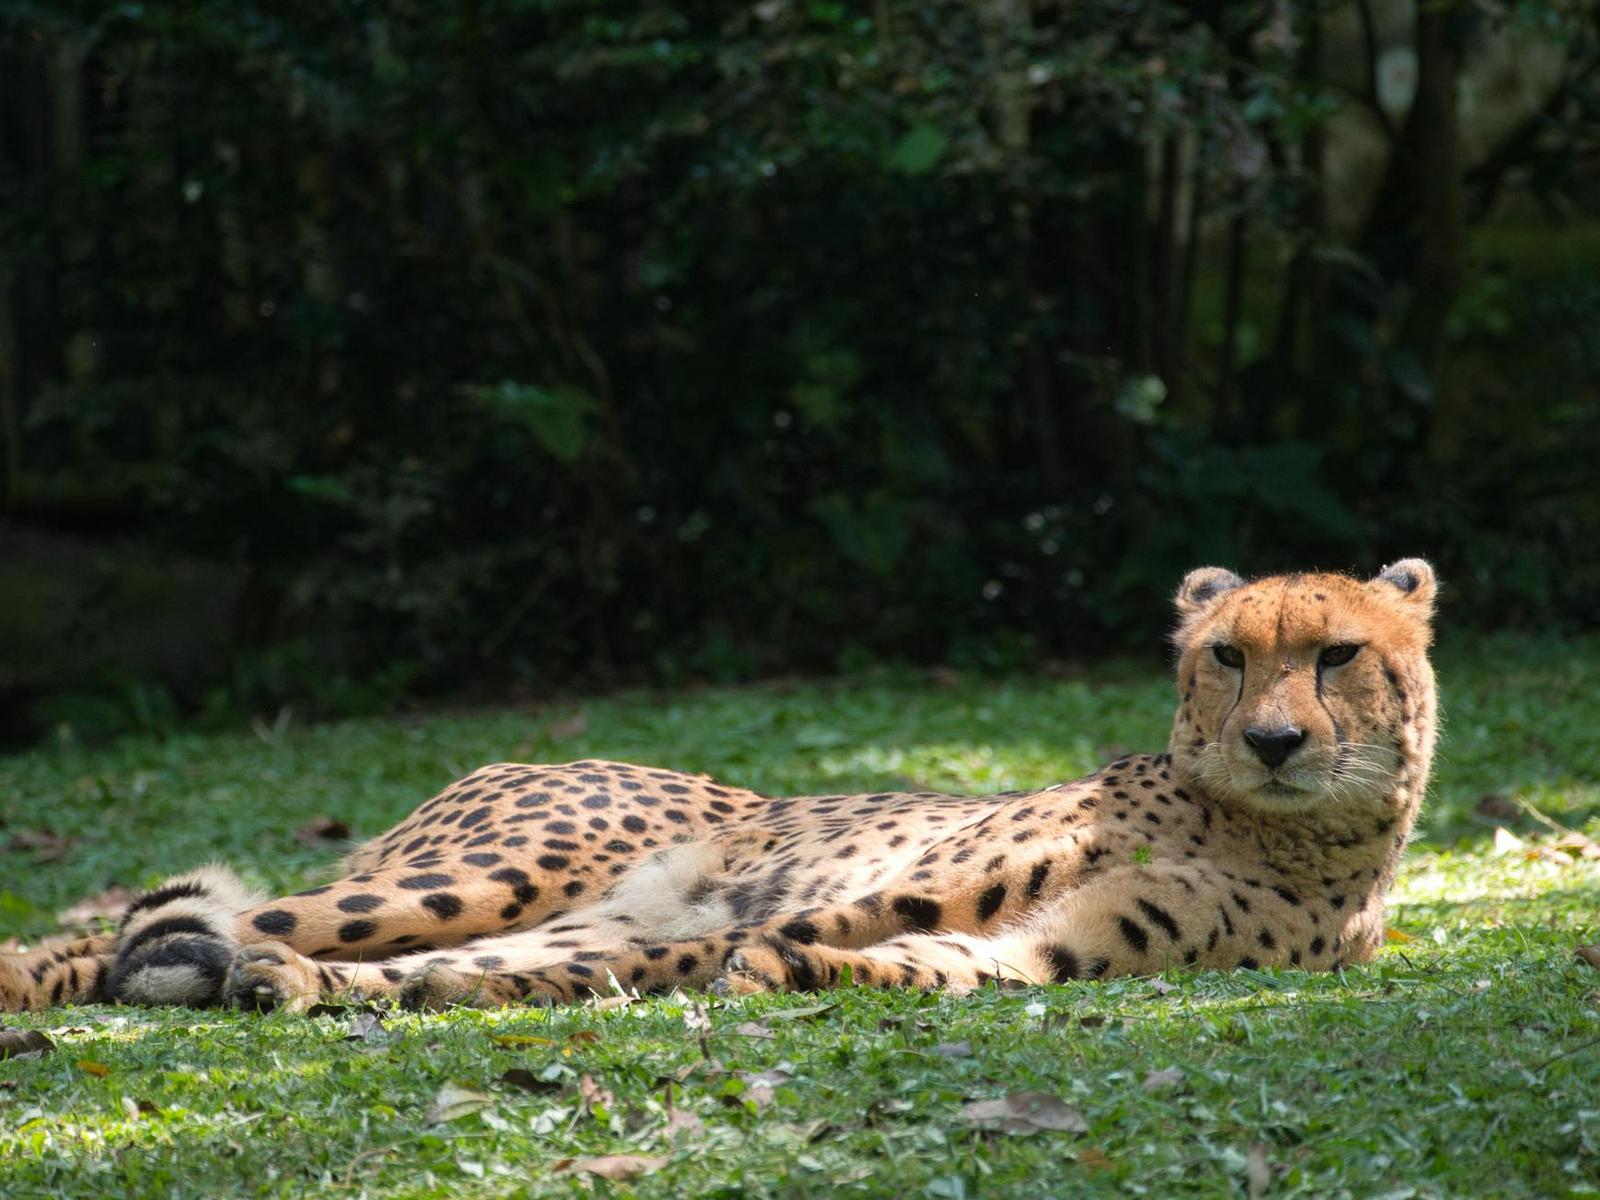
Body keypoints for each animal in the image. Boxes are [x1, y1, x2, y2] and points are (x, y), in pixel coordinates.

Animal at [0, 559, 1438, 1013]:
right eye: (1226, 655)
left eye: (1335, 655)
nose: (1274, 742)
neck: (1270, 832)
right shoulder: (927, 881)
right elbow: (830, 923)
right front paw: (782, 960)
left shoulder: (1054, 949)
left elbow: (942, 963)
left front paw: (803, 971)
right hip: (487, 873)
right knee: (109, 935)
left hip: (554, 925)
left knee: (405, 967)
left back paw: (296, 988)